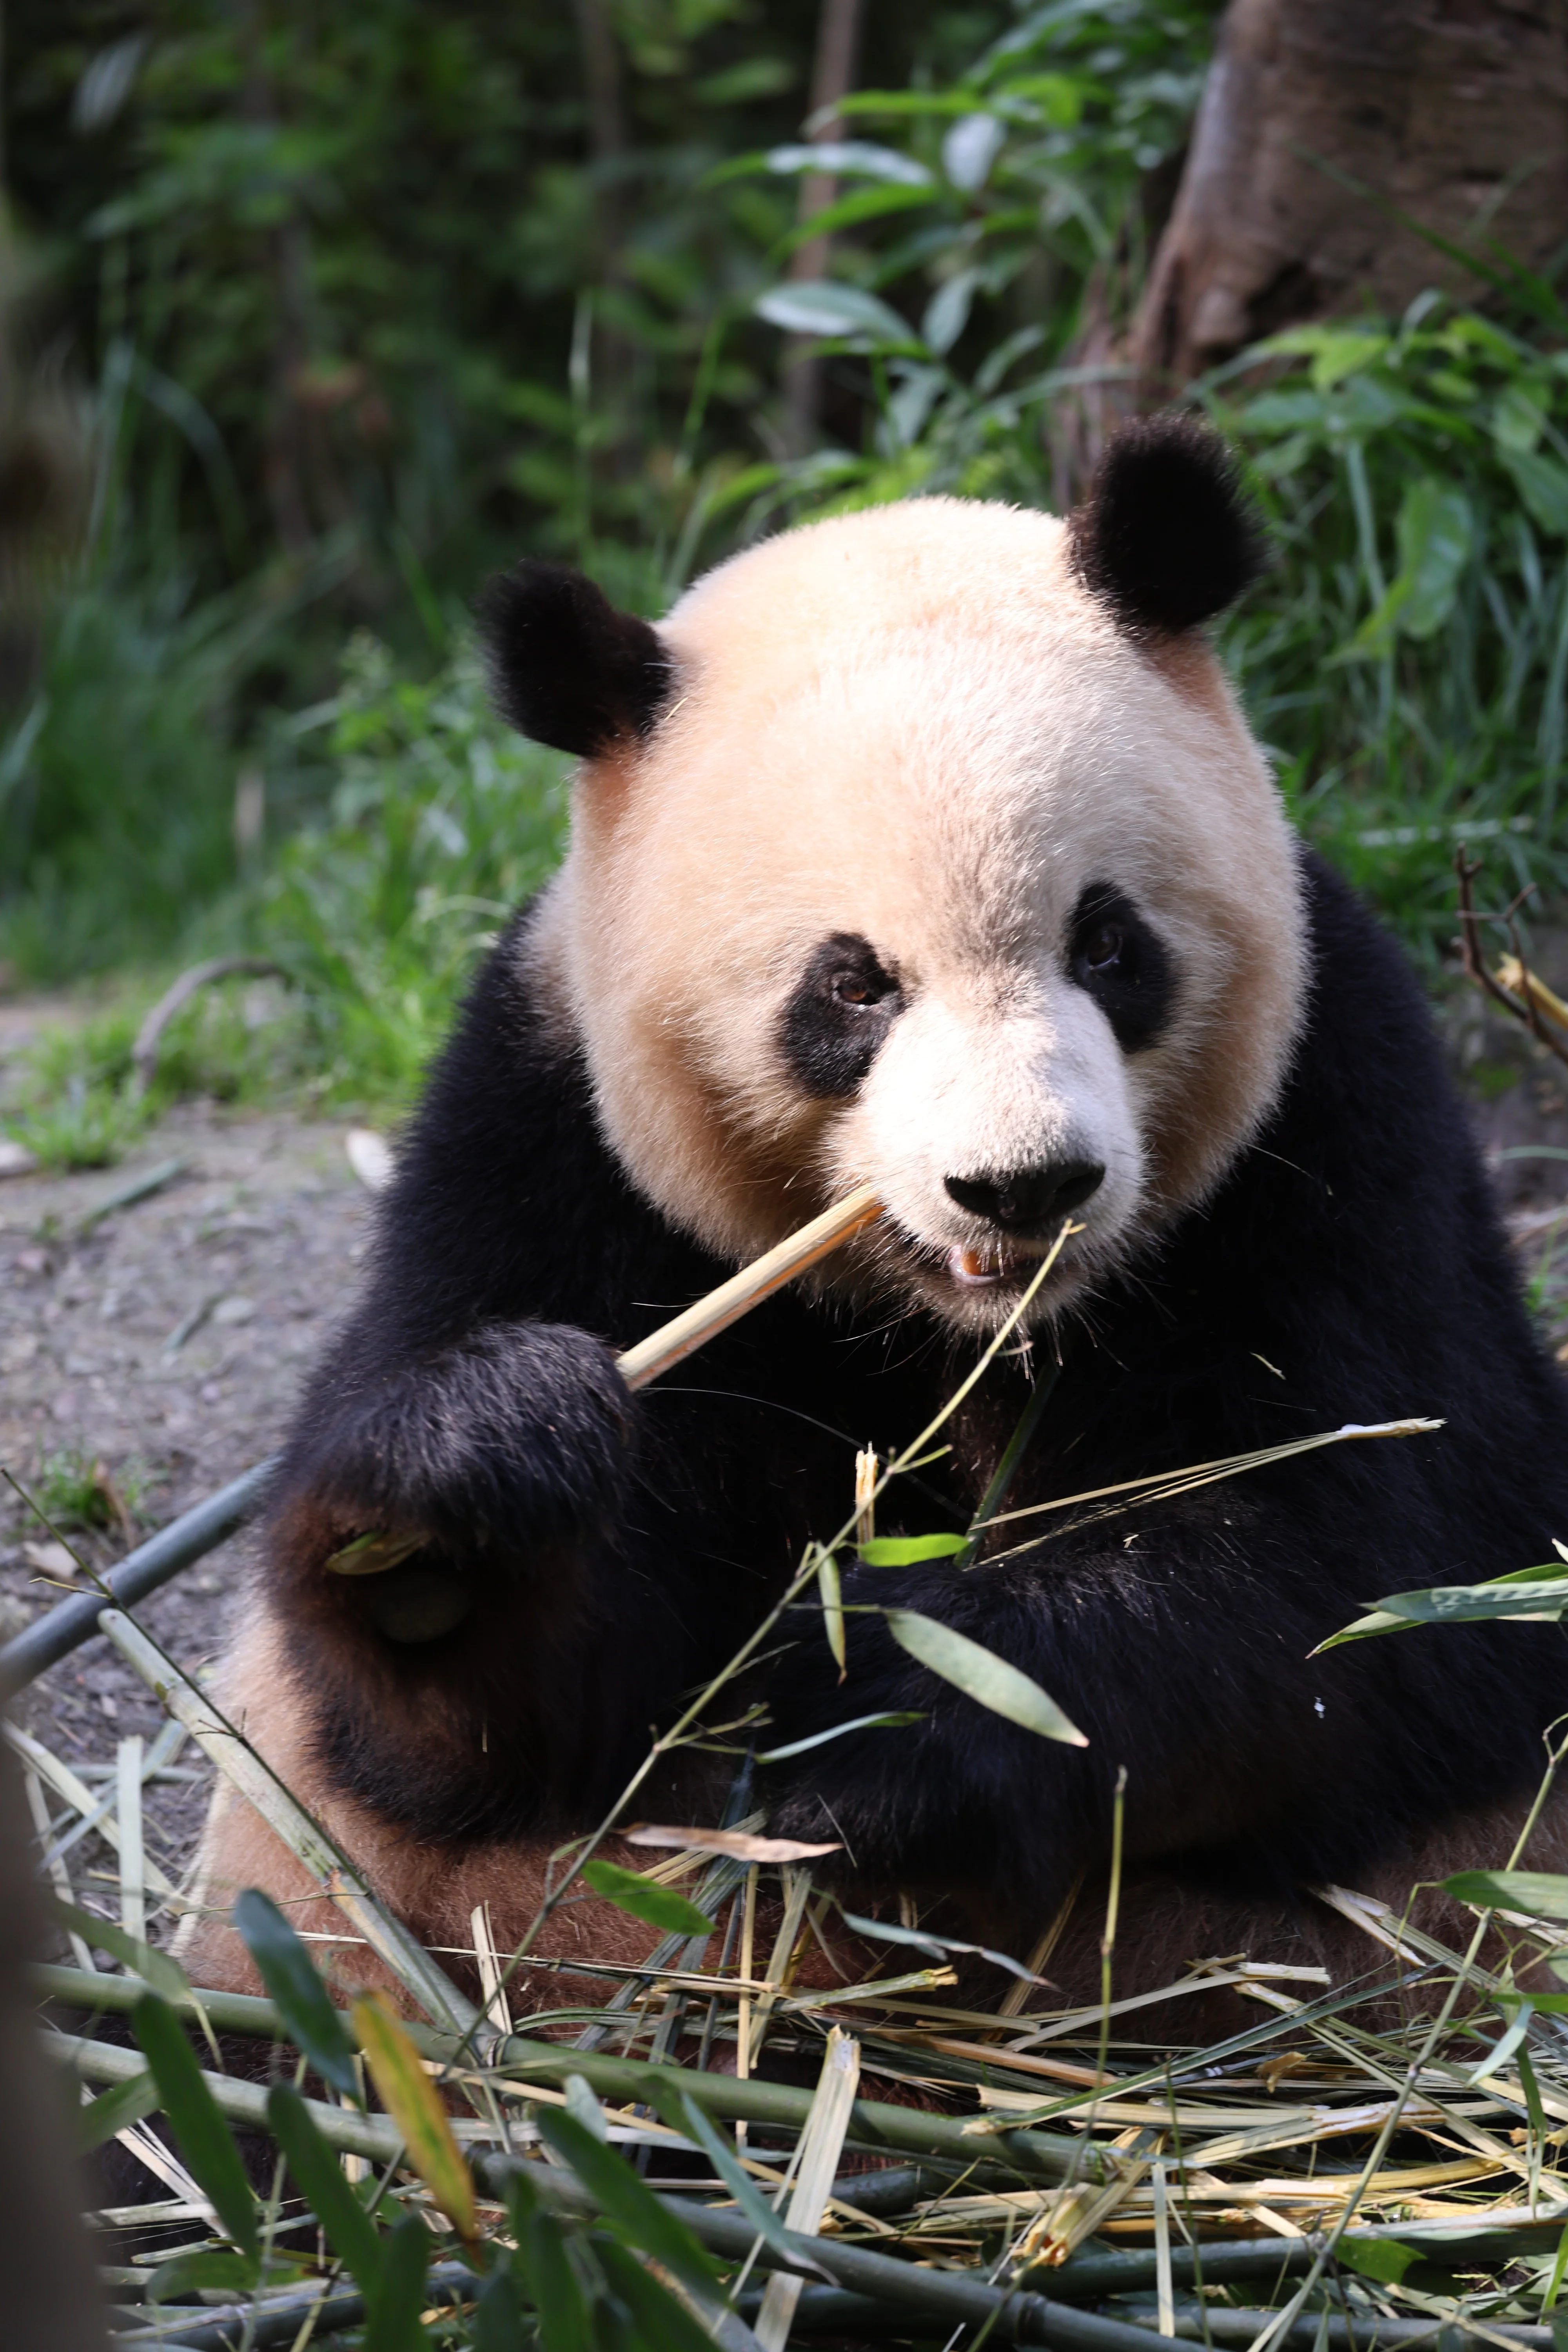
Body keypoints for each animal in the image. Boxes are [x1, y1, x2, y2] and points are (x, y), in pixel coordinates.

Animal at [182, 418, 1568, 2022]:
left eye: (1108, 942)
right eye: (850, 986)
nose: (1024, 1185)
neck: (964, 1330)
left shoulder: (1338, 1116)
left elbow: (1395, 1579)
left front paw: (888, 1721)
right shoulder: (547, 1136)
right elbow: (467, 1738)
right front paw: (453, 1499)